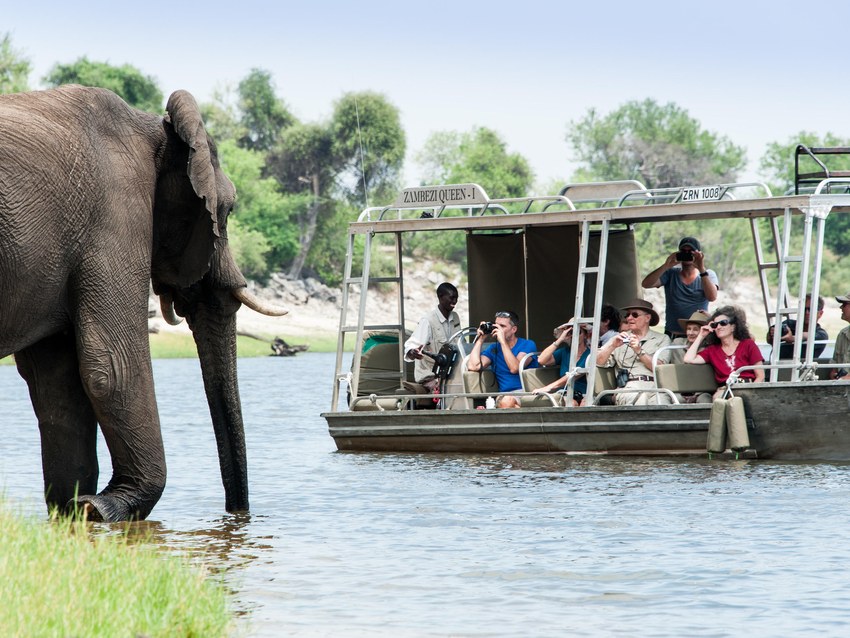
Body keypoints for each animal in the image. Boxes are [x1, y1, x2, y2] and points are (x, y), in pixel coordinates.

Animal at [0, 85, 286, 522]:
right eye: (229, 209)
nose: (237, 518)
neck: (155, 130)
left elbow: (56, 382)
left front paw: (74, 511)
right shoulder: (115, 215)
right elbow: (113, 365)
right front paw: (103, 507)